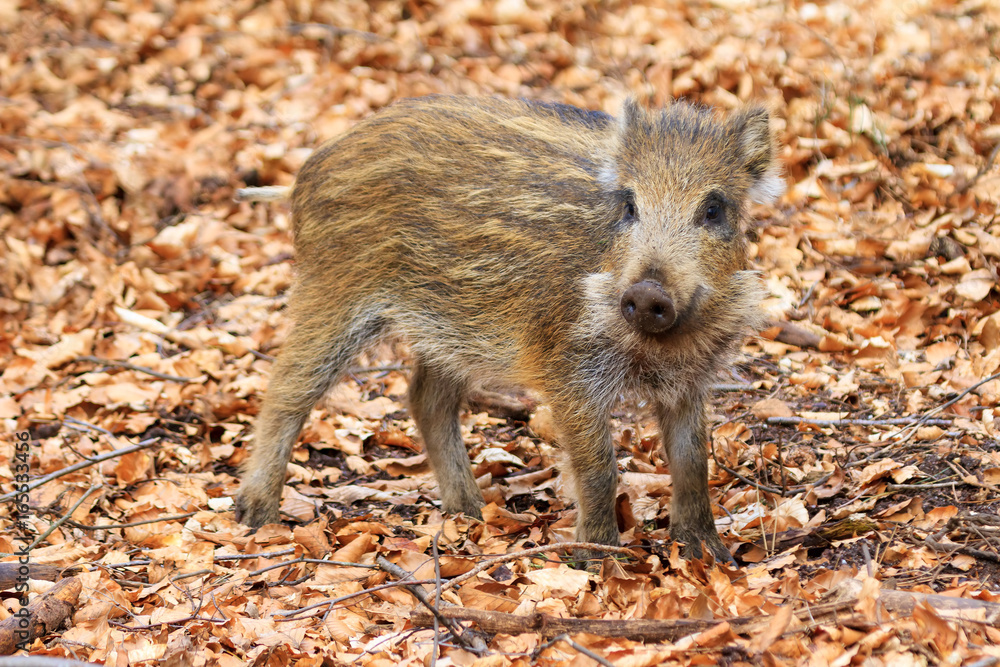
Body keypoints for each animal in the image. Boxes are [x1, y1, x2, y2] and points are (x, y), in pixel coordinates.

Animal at [234, 95, 784, 565]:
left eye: (713, 209)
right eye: (629, 205)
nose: (648, 294)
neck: (658, 346)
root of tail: (304, 174)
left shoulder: (690, 379)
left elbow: (693, 462)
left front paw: (710, 554)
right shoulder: (569, 369)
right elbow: (599, 467)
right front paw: (600, 559)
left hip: (449, 326)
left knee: (425, 399)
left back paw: (469, 513)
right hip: (333, 291)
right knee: (286, 388)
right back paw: (255, 517)